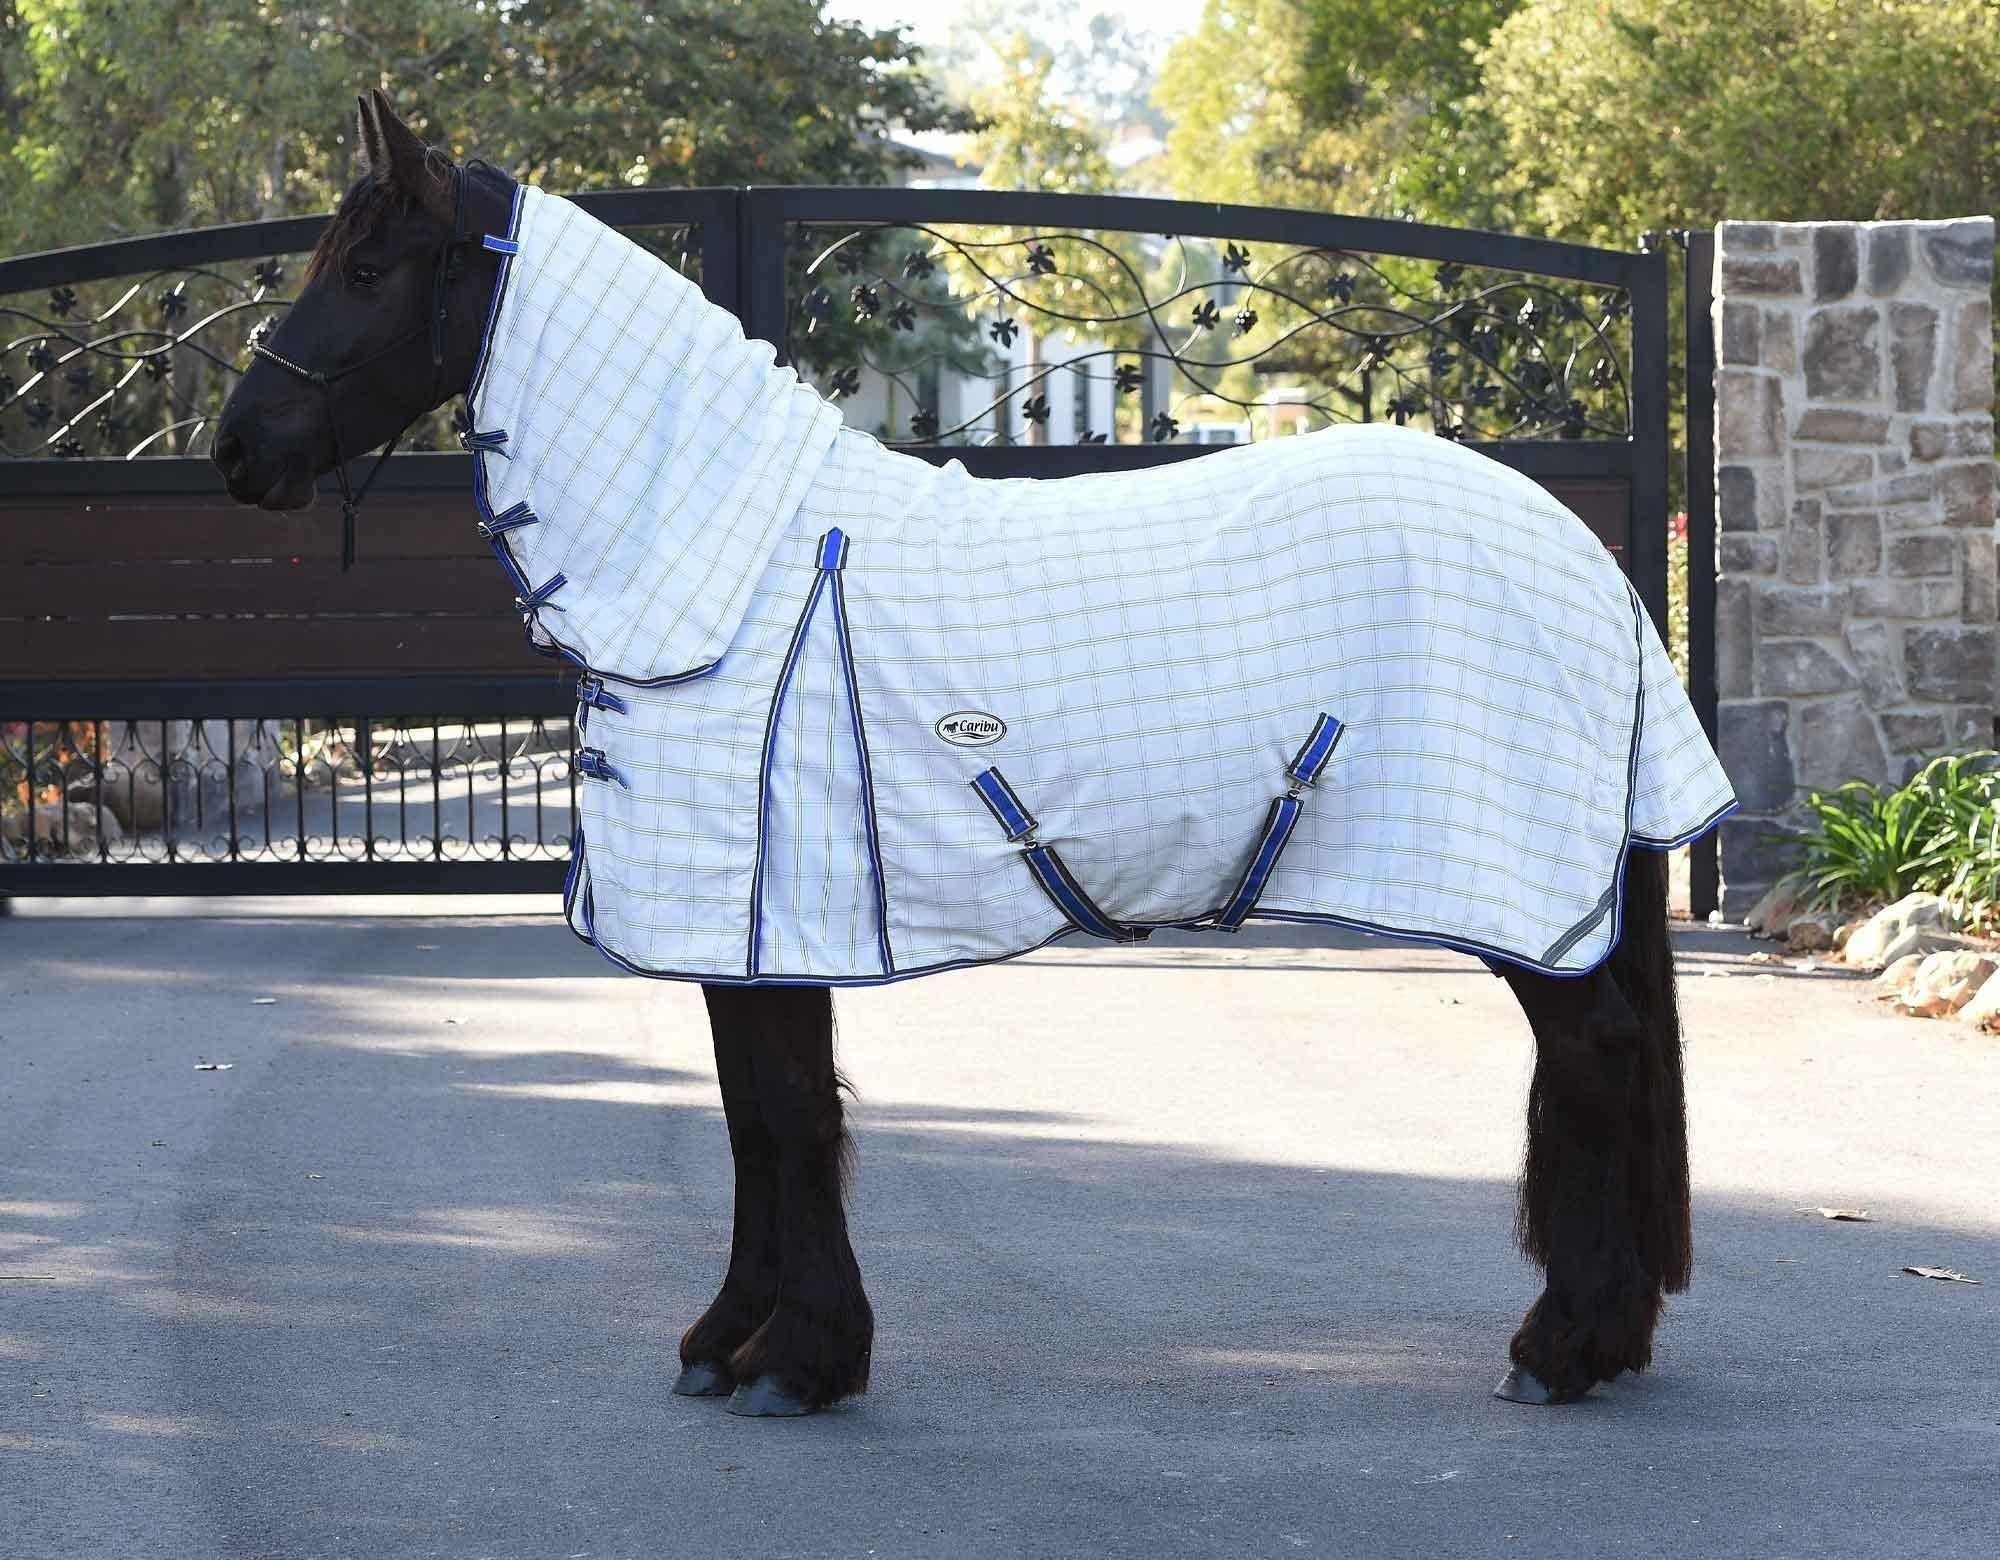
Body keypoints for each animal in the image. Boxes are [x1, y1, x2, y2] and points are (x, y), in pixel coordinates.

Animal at [213, 91, 1733, 1417]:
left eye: (365, 266)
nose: (237, 453)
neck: (734, 568)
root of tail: (1589, 559)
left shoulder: (774, 921)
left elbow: (787, 1113)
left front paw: (797, 1360)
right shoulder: (748, 933)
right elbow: (752, 1115)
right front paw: (732, 1339)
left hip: (1518, 894)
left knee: (1591, 1056)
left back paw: (1561, 1348)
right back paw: (1599, 1339)